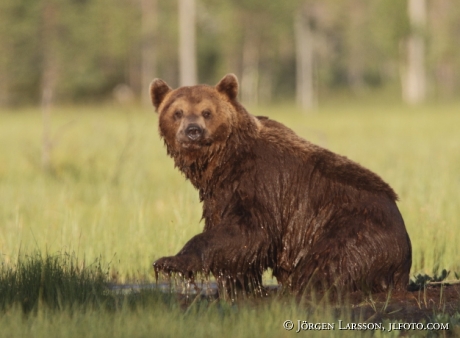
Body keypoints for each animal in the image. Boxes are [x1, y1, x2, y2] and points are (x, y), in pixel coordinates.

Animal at [151, 74, 414, 296]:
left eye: (206, 112)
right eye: (177, 112)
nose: (192, 131)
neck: (224, 162)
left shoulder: (262, 184)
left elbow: (251, 232)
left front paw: (170, 261)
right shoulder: (219, 195)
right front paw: (239, 287)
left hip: (355, 227)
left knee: (329, 262)